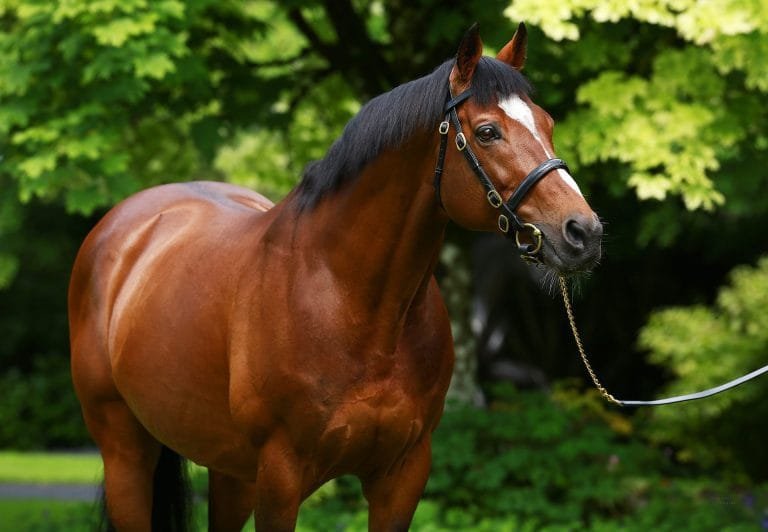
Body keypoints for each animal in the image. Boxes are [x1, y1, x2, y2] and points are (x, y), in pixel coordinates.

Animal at [68, 23, 602, 531]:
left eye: (548, 124)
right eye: (489, 131)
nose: (584, 233)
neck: (354, 303)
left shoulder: (402, 477)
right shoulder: (280, 479)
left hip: (229, 470)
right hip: (126, 453)